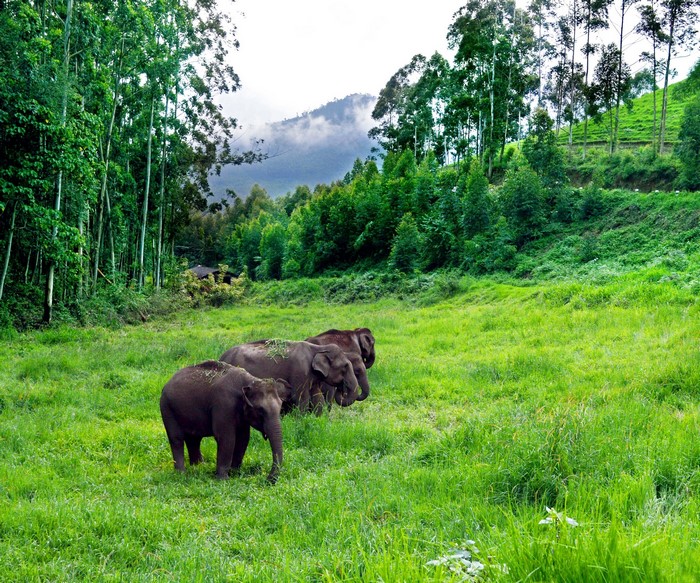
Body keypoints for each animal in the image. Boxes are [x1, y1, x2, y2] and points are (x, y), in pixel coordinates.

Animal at [159, 360, 291, 483]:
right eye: (260, 411)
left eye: (280, 408)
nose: (267, 480)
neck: (250, 381)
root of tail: (167, 382)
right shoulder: (223, 405)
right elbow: (227, 438)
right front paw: (224, 479)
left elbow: (243, 438)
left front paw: (235, 473)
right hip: (167, 408)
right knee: (176, 439)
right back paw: (181, 474)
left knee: (194, 439)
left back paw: (199, 467)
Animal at [219, 340, 360, 415]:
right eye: (345, 366)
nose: (342, 387)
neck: (317, 348)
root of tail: (222, 356)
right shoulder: (300, 371)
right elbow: (301, 397)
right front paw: (302, 420)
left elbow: (317, 396)